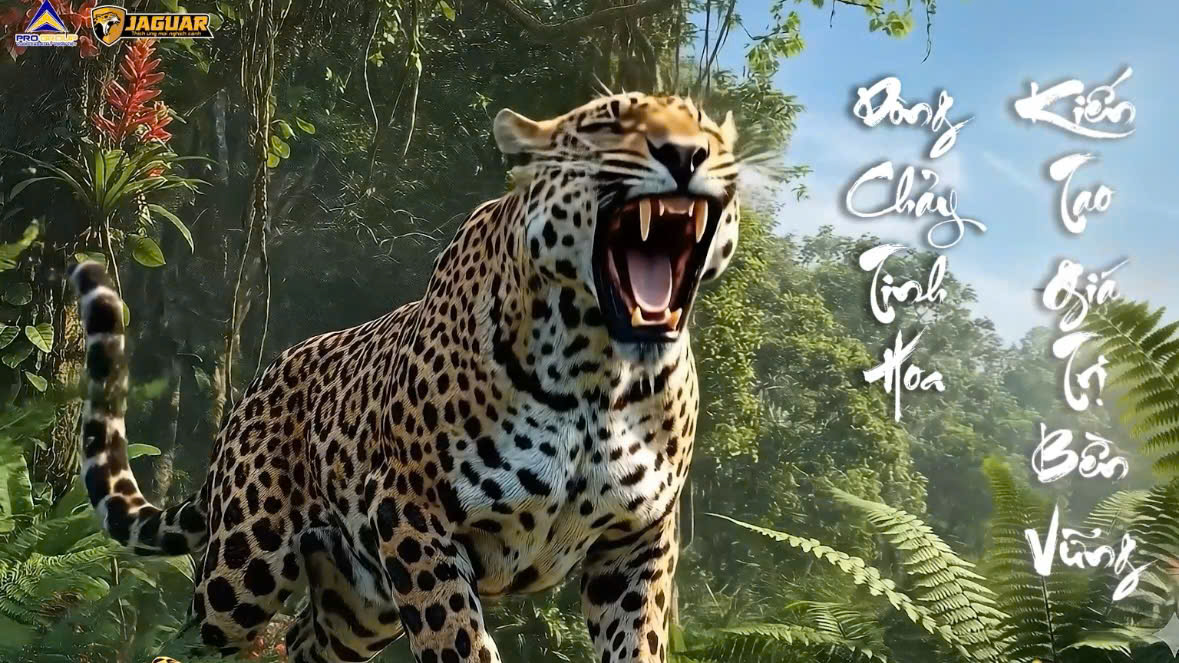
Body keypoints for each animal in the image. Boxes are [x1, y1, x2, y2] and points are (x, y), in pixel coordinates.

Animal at [69, 91, 744, 663]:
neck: (597, 371)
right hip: (243, 570)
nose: (686, 155)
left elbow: (639, 640)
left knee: (306, 640)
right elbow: (457, 638)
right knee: (195, 638)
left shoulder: (638, 542)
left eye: (705, 130)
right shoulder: (410, 512)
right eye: (608, 125)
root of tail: (252, 393)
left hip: (358, 603)